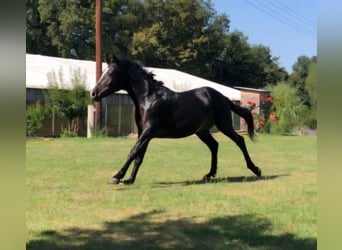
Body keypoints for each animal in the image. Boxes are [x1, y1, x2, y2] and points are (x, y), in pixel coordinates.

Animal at [89, 57, 260, 186]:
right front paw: (130, 179)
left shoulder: (148, 131)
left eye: (111, 73)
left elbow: (133, 151)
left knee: (239, 140)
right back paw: (209, 174)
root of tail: (223, 98)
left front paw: (116, 177)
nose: (93, 93)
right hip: (202, 131)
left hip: (224, 125)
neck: (149, 99)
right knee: (214, 145)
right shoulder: (143, 133)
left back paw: (255, 169)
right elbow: (139, 155)